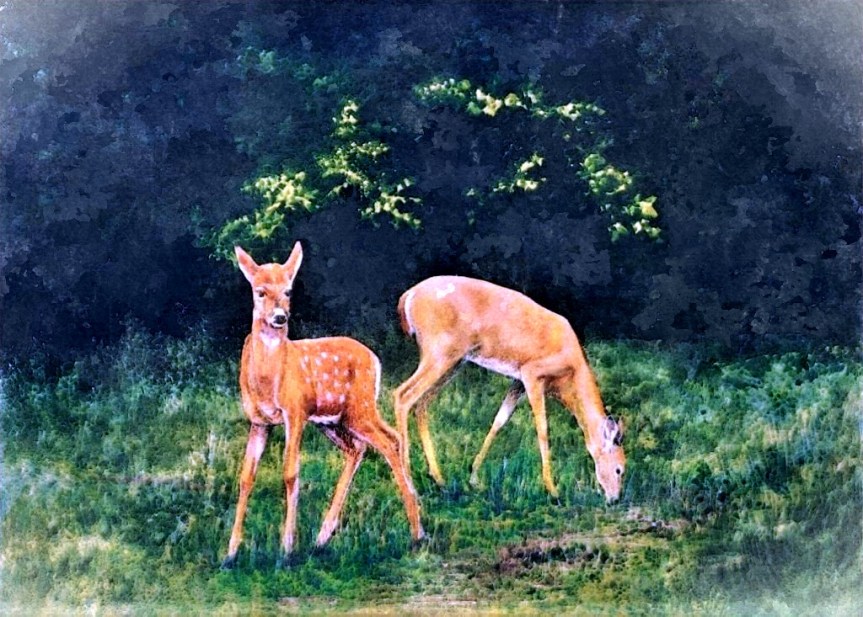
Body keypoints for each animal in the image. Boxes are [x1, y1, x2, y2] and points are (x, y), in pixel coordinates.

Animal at [221, 243, 424, 570]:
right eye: (260, 291)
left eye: (288, 290)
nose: (280, 317)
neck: (268, 378)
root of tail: (375, 359)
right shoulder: (259, 421)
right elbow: (246, 476)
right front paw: (230, 554)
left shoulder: (295, 411)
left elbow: (290, 472)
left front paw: (286, 550)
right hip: (335, 421)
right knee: (361, 447)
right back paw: (322, 537)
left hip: (359, 408)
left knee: (387, 441)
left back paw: (417, 532)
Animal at [393, 276, 625, 503]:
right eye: (619, 470)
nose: (614, 499)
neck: (569, 376)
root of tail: (407, 297)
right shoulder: (532, 373)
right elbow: (542, 428)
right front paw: (553, 490)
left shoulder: (517, 382)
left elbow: (499, 421)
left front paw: (474, 477)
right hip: (439, 351)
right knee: (403, 394)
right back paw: (410, 482)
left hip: (454, 361)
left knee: (421, 404)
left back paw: (439, 479)